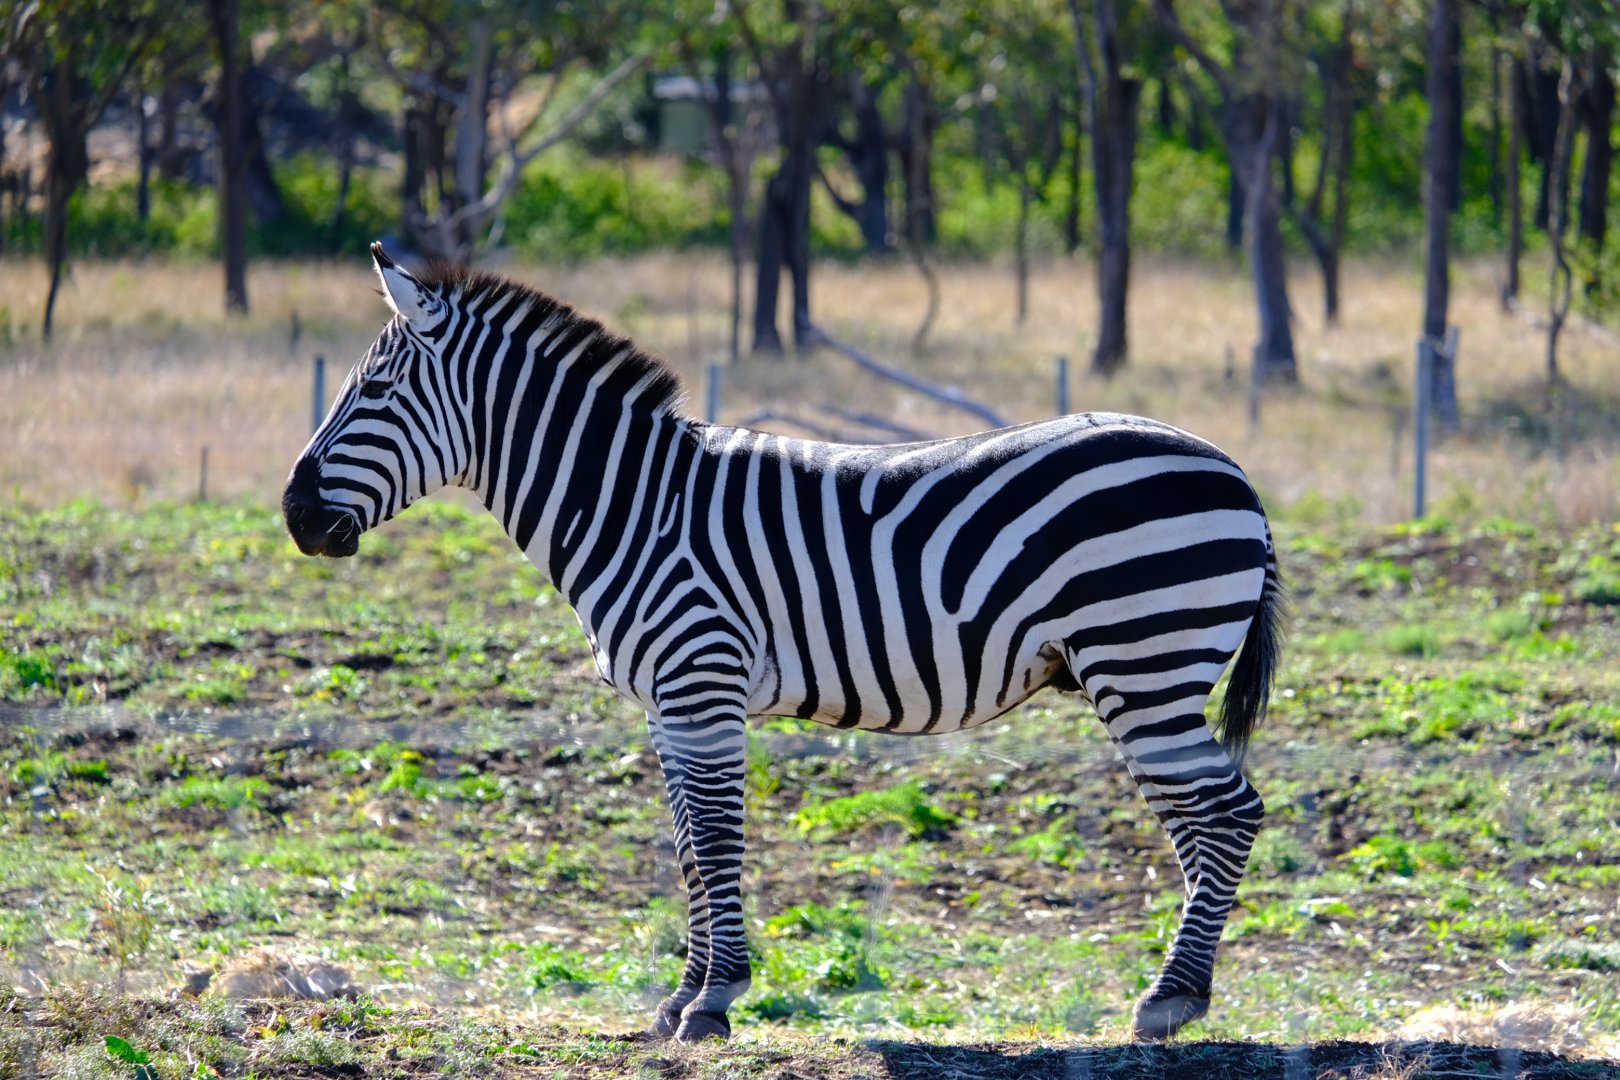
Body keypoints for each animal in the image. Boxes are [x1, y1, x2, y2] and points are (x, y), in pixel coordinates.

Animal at [283, 244, 1284, 1043]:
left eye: (372, 392)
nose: (293, 515)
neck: (632, 504)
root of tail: (1234, 470)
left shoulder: (702, 681)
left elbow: (718, 837)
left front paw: (714, 1001)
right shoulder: (668, 706)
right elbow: (689, 843)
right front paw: (679, 999)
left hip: (1144, 661)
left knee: (1226, 814)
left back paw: (1169, 999)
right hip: (1148, 670)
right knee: (1207, 819)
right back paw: (1179, 997)